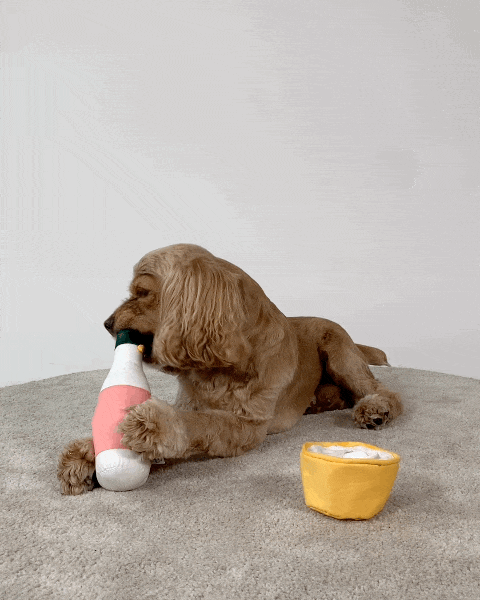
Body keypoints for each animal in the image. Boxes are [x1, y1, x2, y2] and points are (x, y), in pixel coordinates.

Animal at [58, 243, 402, 495]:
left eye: (142, 292)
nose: (107, 323)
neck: (216, 369)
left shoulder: (248, 424)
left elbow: (203, 424)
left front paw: (156, 426)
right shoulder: (193, 400)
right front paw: (86, 454)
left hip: (341, 354)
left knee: (383, 390)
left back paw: (375, 409)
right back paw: (324, 400)